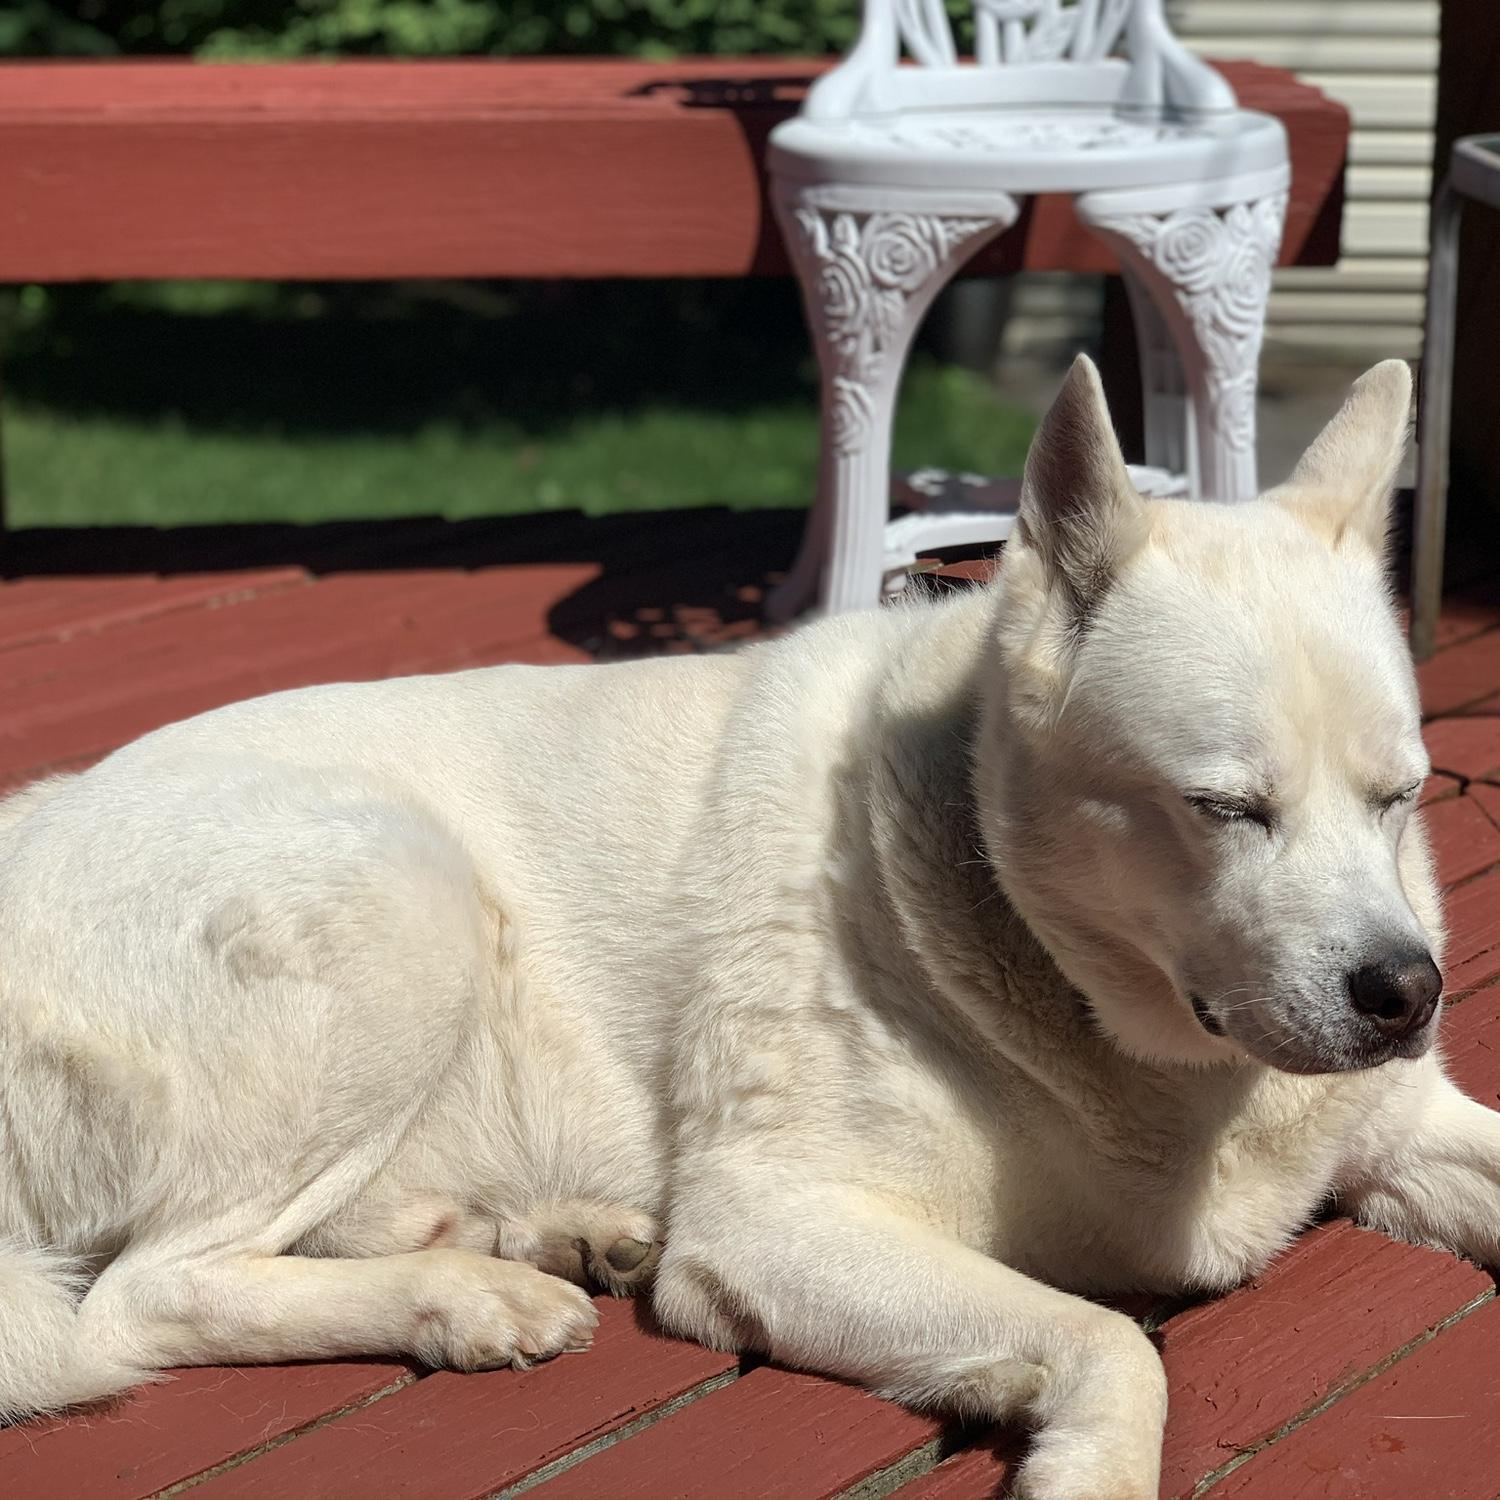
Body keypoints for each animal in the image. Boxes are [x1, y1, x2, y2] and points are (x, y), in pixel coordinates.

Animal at [2, 354, 1493, 1500]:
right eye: (1223, 809)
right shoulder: (778, 1223)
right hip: (400, 895)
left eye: (1401, 794)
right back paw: (470, 1297)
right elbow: (1115, 1343)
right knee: (148, 1293)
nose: (1404, 991)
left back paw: (550, 1239)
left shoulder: (1404, 1119)